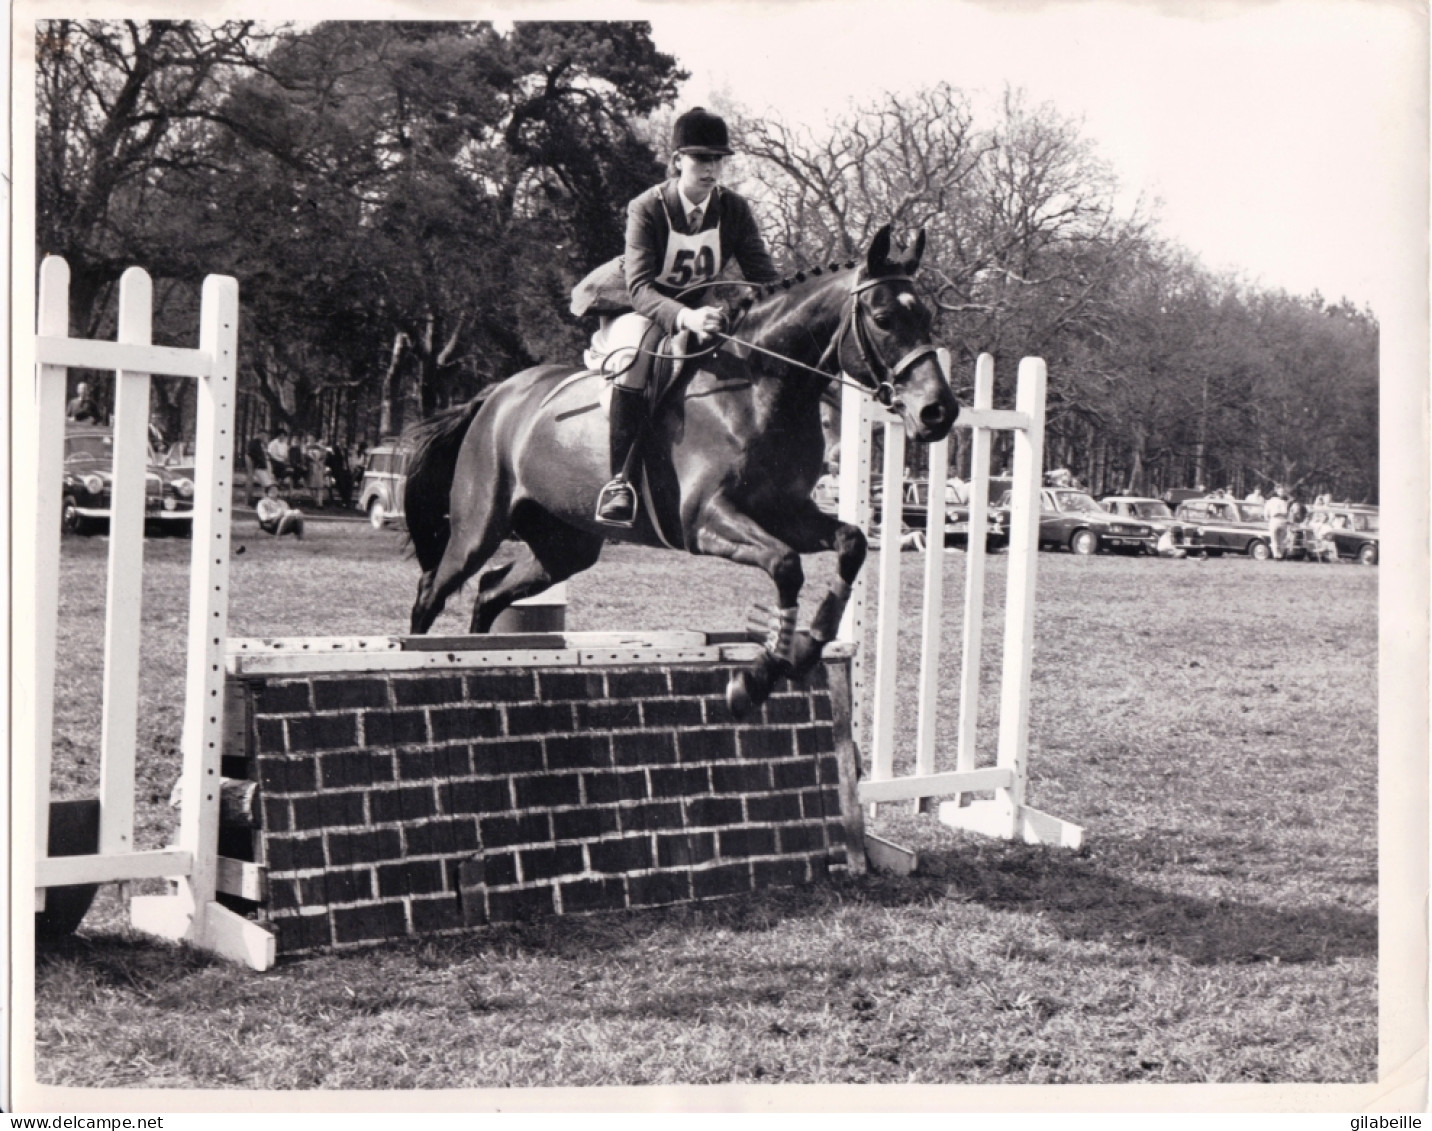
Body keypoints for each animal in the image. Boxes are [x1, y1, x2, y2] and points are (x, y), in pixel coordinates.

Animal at [403, 223, 962, 718]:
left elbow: (851, 544)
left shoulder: (787, 511)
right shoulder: (703, 520)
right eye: (883, 317)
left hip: (564, 546)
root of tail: (496, 395)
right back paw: (419, 650)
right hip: (479, 526)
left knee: (490, 590)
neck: (762, 386)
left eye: (927, 316)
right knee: (432, 590)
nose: (940, 412)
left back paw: (479, 654)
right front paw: (756, 681)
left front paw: (802, 652)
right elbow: (785, 565)